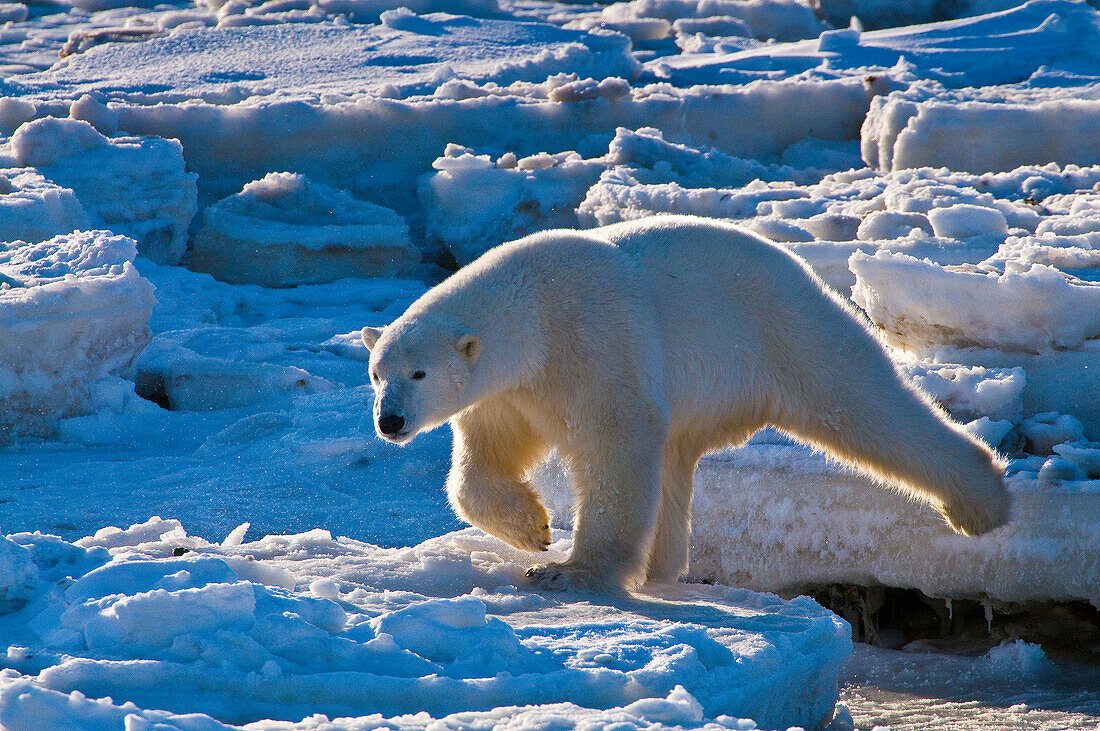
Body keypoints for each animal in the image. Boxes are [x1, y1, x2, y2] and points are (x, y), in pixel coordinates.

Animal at [358, 214, 1007, 589]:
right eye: (376, 372)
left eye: (418, 372)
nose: (390, 421)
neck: (533, 311)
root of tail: (800, 267)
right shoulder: (510, 392)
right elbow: (485, 461)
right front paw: (532, 530)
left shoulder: (591, 342)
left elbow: (617, 440)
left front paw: (566, 571)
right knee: (674, 464)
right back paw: (661, 569)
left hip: (786, 330)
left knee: (866, 405)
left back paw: (979, 505)